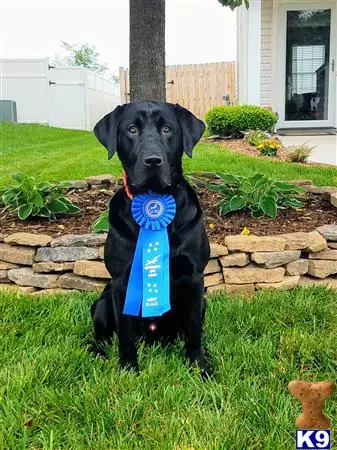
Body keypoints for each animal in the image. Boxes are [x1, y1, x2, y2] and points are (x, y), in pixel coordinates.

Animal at [89, 101, 210, 376]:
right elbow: (124, 334)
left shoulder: (195, 278)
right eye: (132, 129)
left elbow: (194, 332)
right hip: (102, 303)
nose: (153, 160)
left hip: (203, 303)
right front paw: (128, 368)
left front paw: (199, 366)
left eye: (167, 129)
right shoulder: (121, 282)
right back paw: (94, 352)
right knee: (100, 335)